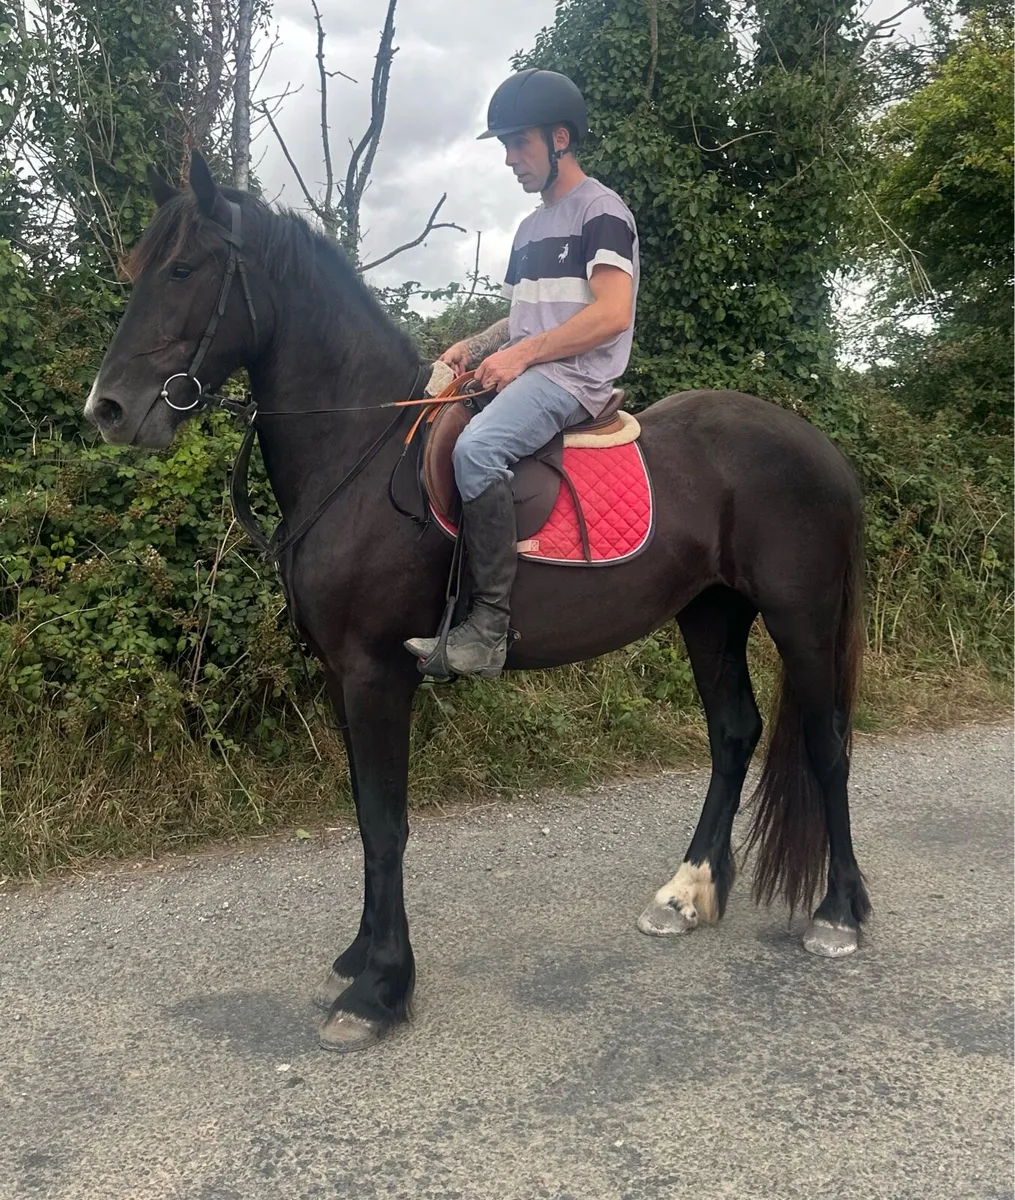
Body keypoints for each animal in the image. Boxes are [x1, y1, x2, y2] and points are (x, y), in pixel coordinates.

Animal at [84, 153, 870, 1053]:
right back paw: (686, 893)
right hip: (709, 613)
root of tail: (817, 446)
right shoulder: (344, 676)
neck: (358, 452)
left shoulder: (375, 672)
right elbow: (366, 813)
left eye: (184, 269)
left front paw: (378, 991)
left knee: (826, 742)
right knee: (734, 732)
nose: (107, 409)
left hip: (799, 615)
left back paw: (838, 913)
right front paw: (359, 959)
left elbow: (385, 822)